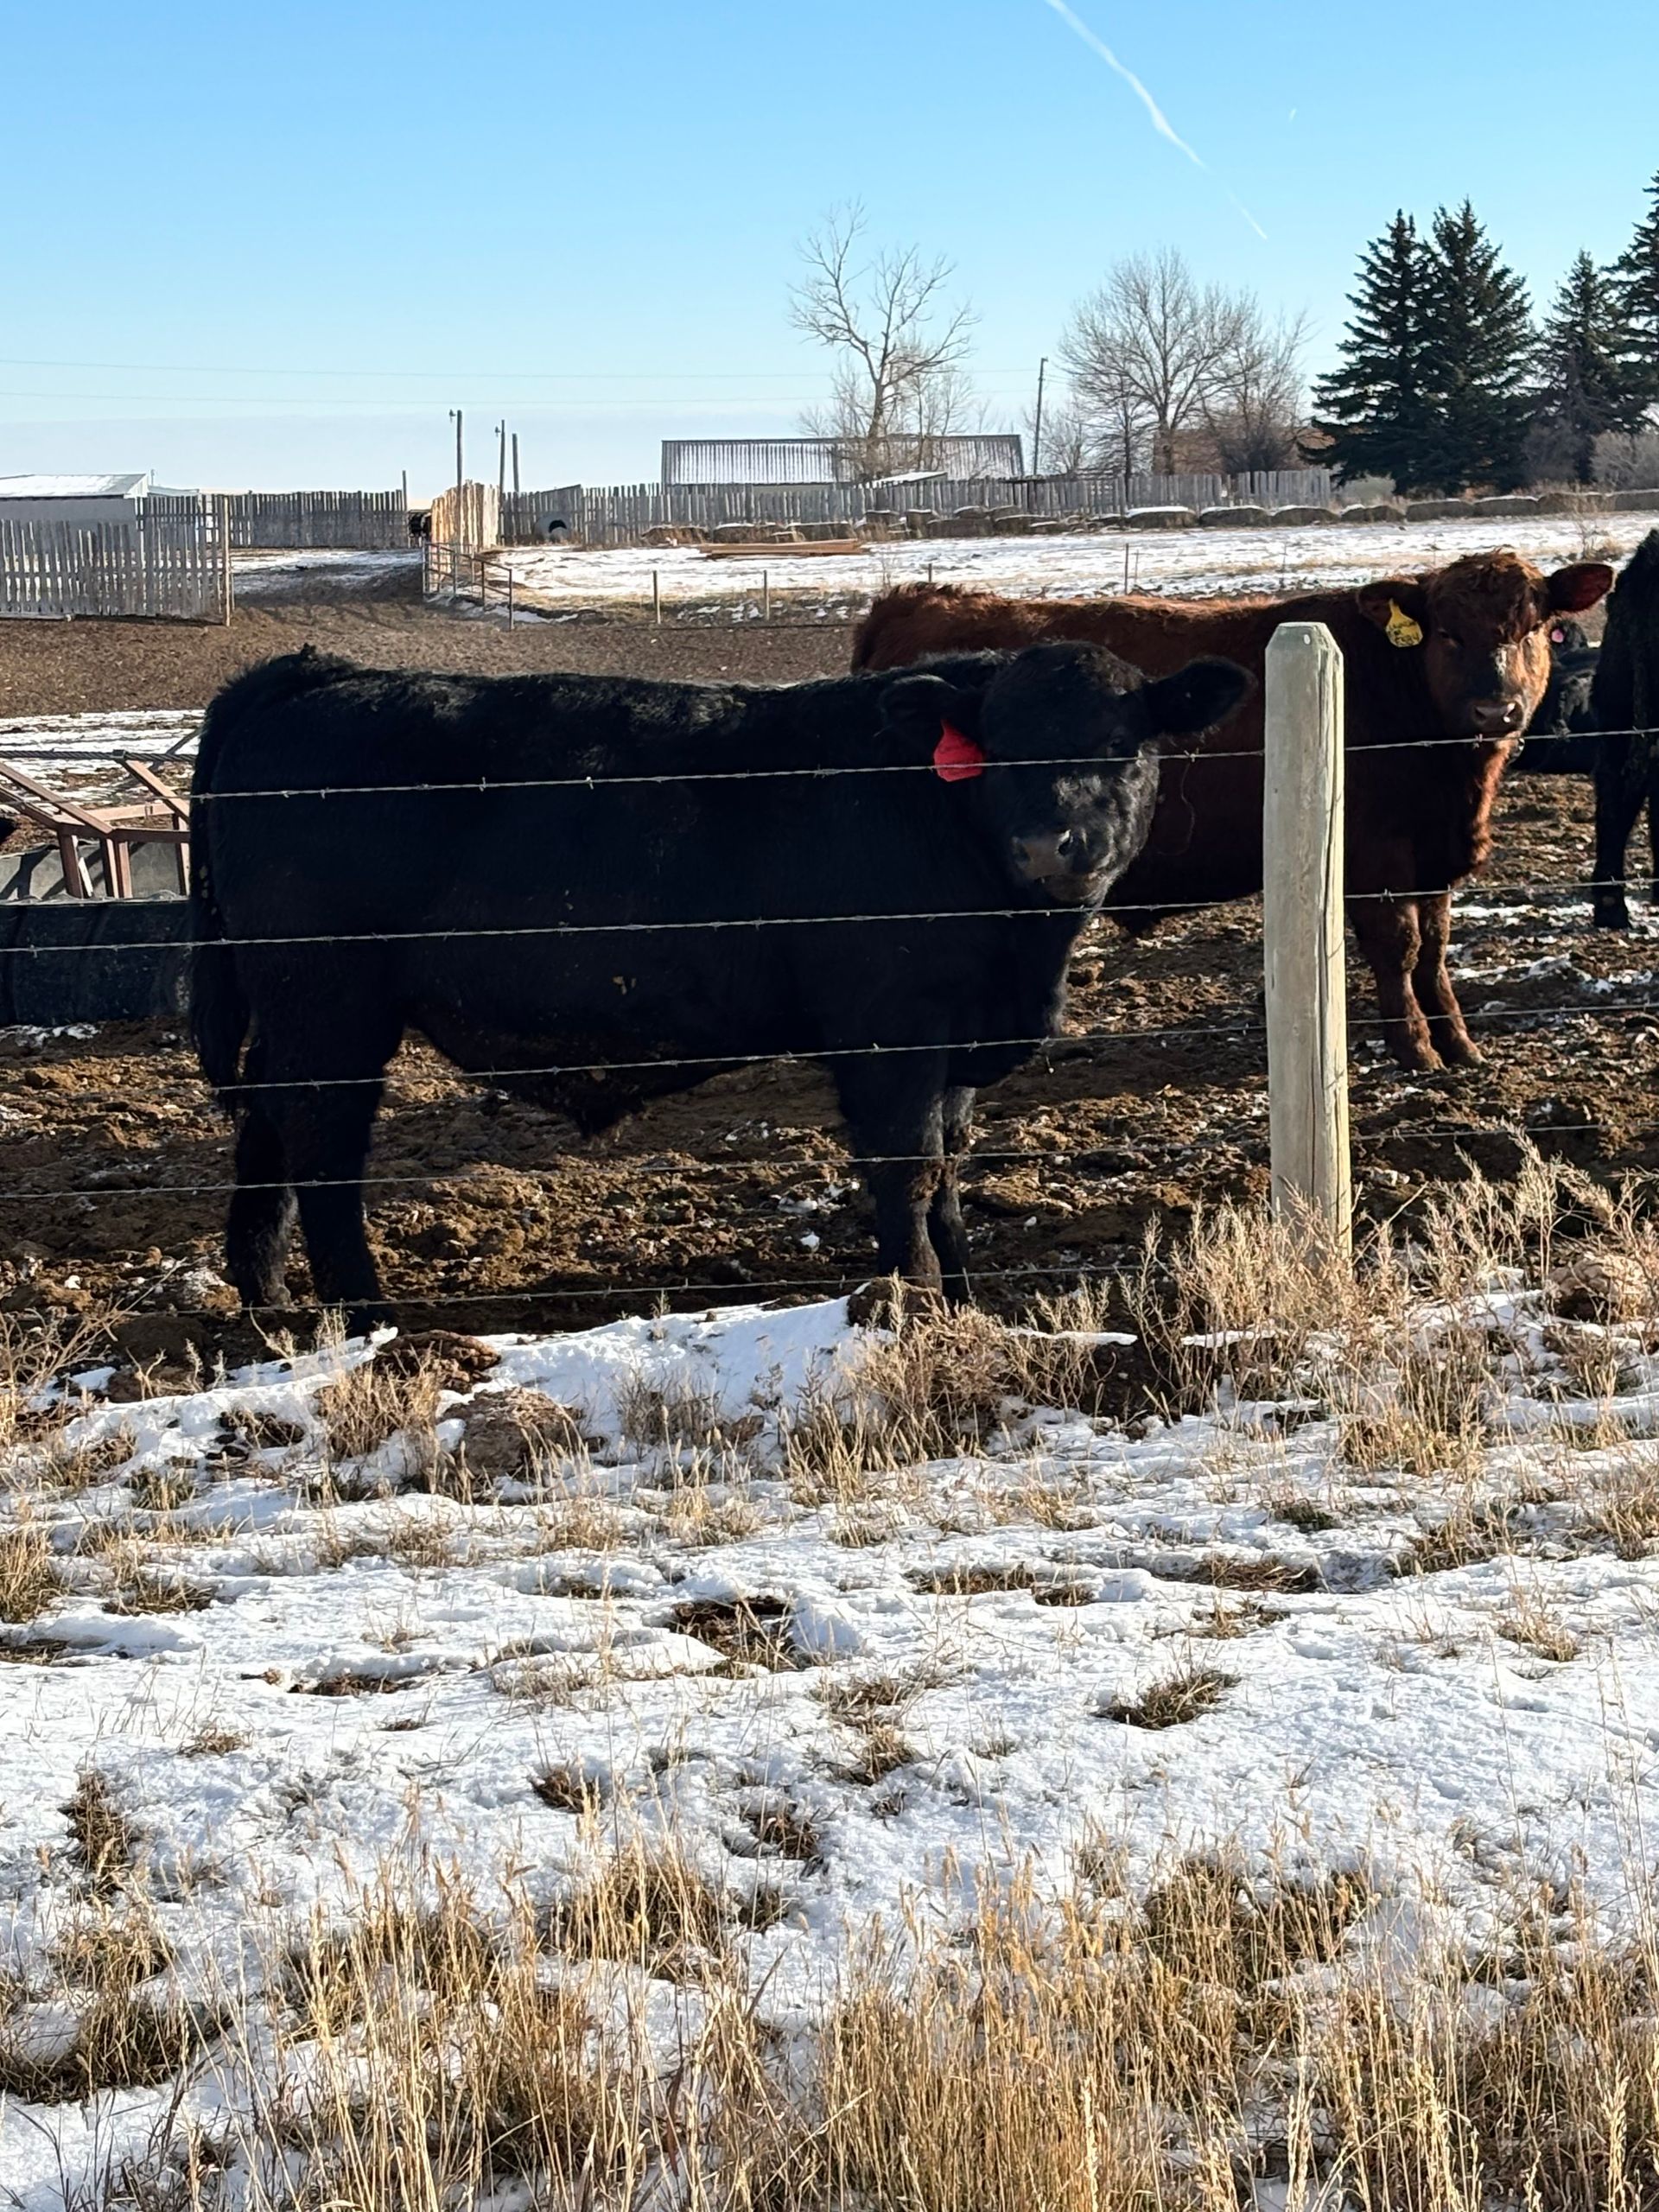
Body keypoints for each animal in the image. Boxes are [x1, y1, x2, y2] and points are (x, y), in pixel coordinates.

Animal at [189, 642, 1250, 1329]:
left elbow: (949, 1170)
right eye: (998, 743)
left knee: (269, 1129)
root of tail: (316, 674)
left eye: (1122, 743)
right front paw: (909, 1304)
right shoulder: (889, 1036)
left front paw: (964, 1303)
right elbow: (905, 1171)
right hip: (331, 1007)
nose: (1051, 844)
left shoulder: (953, 1044)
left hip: (297, 1013)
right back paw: (372, 1319)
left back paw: (269, 1299)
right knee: (324, 1148)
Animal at [853, 551, 1614, 1074]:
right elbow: (1398, 949)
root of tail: (914, 599)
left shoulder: (1433, 859)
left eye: (1536, 628)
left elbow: (1433, 950)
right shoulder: (1376, 859)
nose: (1496, 708)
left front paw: (1459, 1044)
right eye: (1447, 634)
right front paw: (1418, 1051)